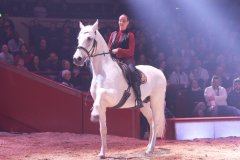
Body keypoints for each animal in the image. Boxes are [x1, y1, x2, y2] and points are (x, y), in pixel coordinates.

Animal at [73, 20, 167, 159]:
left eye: (89, 38)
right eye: (78, 38)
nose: (77, 59)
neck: (102, 72)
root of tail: (160, 72)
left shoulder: (114, 96)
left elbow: (101, 93)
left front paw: (94, 114)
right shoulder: (103, 106)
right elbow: (103, 129)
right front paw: (102, 153)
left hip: (156, 102)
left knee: (156, 123)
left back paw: (150, 150)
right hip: (144, 105)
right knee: (151, 121)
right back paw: (148, 147)